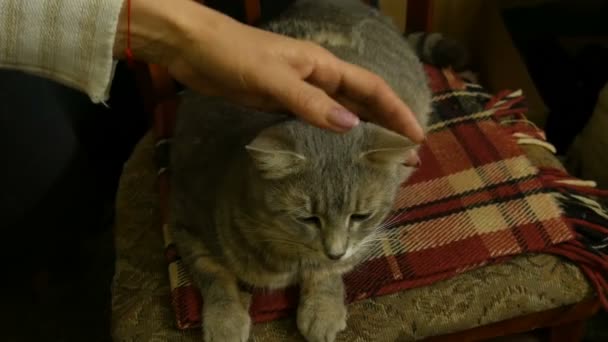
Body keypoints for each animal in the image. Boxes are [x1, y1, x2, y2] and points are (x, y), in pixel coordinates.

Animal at [169, 1, 444, 340]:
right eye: (307, 218)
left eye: (360, 216)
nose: (335, 251)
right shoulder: (185, 223)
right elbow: (213, 274)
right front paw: (225, 320)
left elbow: (326, 271)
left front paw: (321, 308)